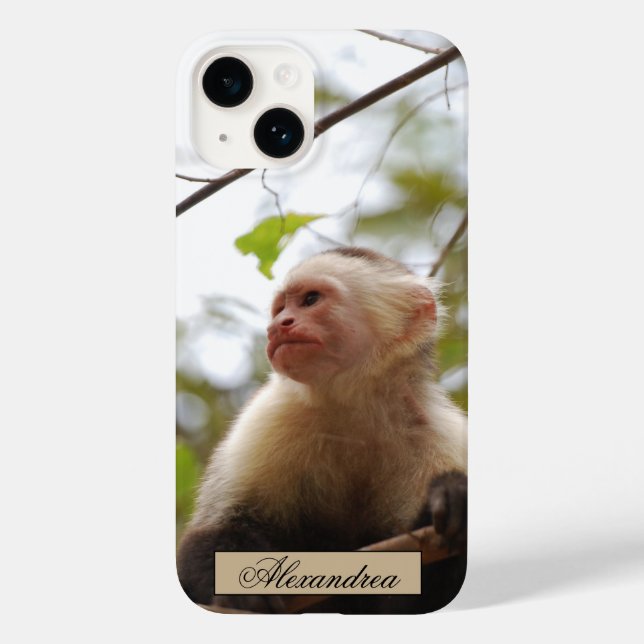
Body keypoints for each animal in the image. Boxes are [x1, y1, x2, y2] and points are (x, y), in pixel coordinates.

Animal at [177, 247, 467, 613]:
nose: (277, 326)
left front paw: (452, 496)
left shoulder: (442, 437)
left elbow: (414, 597)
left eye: (311, 299)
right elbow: (205, 537)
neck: (353, 409)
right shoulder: (267, 417)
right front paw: (242, 585)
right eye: (280, 309)